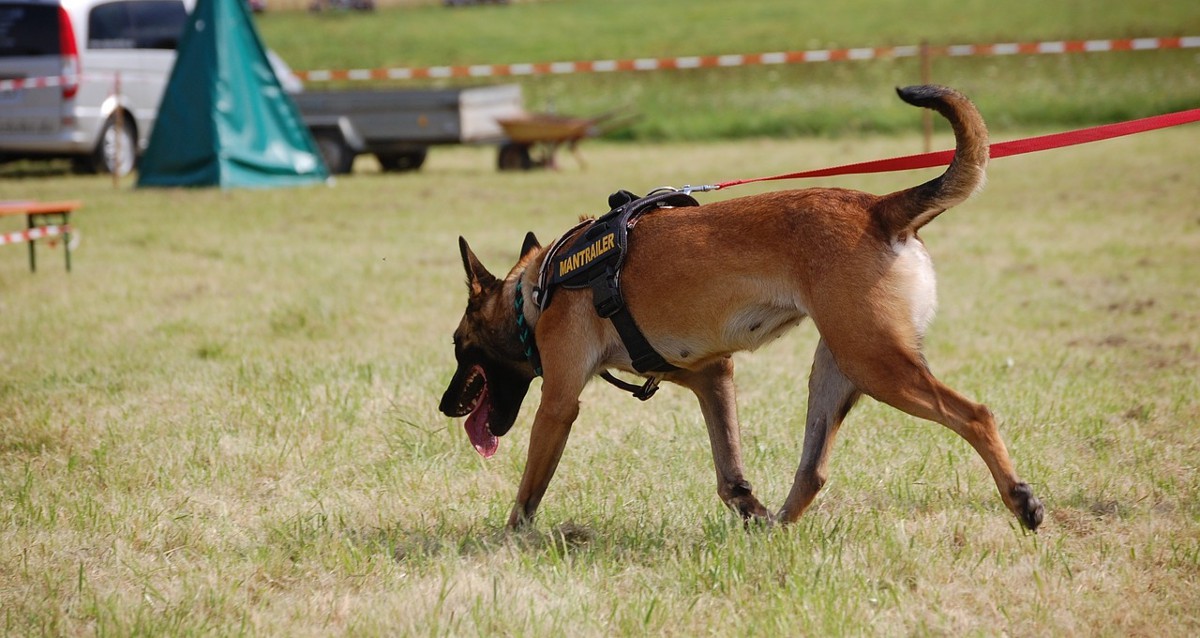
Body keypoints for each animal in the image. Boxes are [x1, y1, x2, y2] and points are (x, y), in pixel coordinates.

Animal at [439, 85, 1041, 532]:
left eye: (460, 346)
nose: (445, 406)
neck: (539, 286)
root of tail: (878, 209)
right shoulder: (712, 376)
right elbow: (729, 472)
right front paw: (748, 509)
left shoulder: (559, 404)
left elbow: (529, 489)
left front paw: (508, 541)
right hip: (837, 368)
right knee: (813, 469)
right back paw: (776, 527)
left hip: (877, 364)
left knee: (976, 414)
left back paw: (1021, 500)